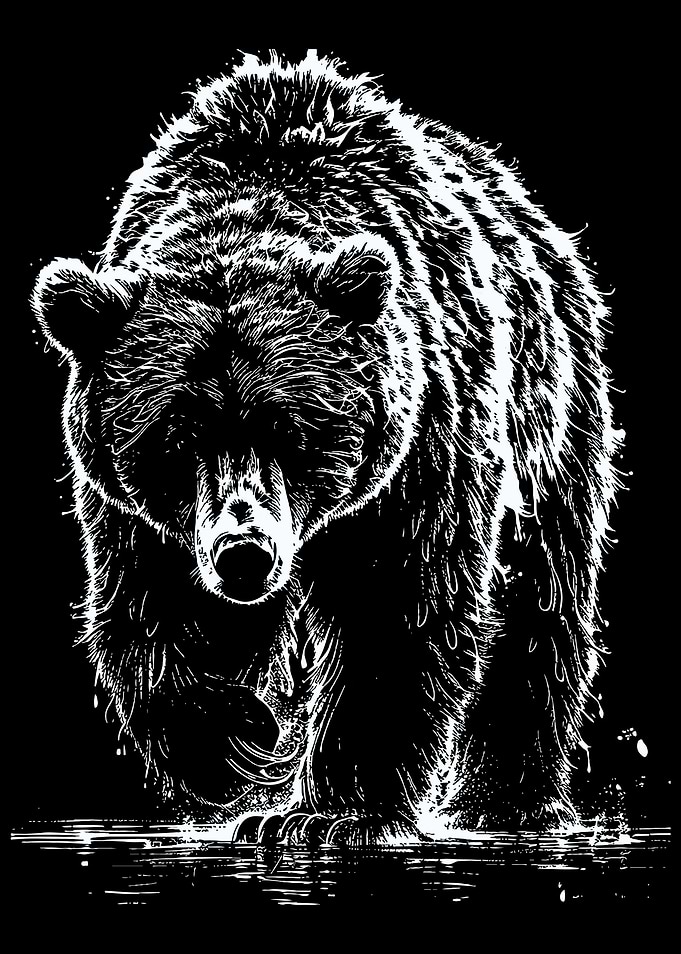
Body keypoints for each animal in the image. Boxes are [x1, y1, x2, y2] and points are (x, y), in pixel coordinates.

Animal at [32, 51, 622, 841]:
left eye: (292, 429)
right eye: (176, 437)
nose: (244, 555)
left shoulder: (419, 455)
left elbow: (394, 611)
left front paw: (329, 813)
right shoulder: (136, 512)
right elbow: (156, 614)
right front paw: (235, 745)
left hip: (551, 427)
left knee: (542, 604)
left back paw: (511, 801)